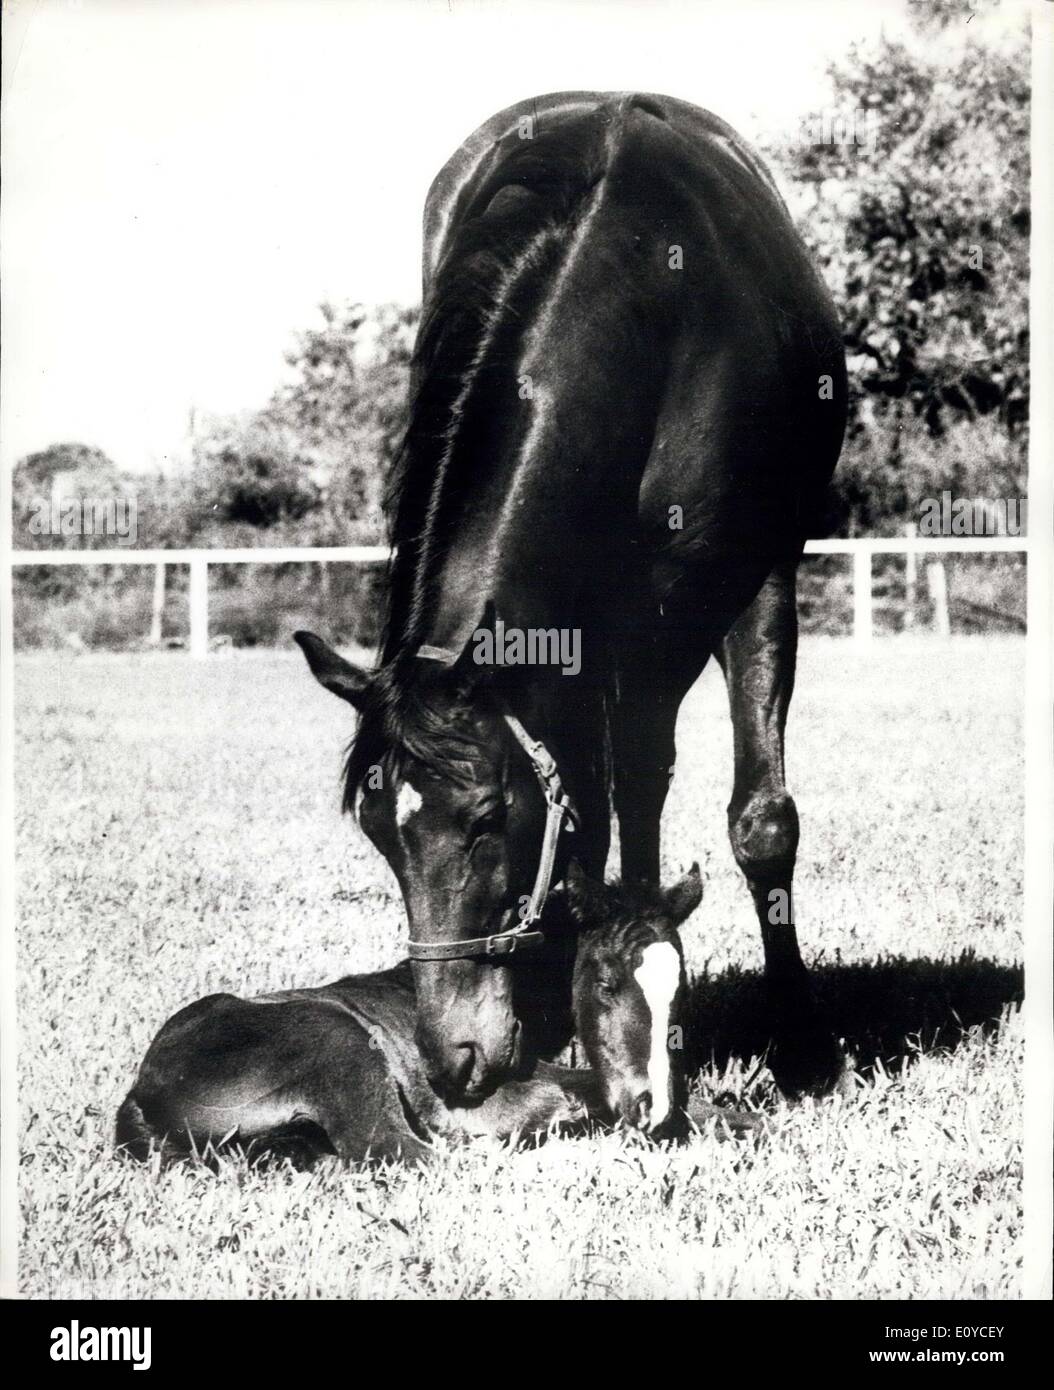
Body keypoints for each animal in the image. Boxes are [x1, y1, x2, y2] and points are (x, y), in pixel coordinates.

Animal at [117, 861, 717, 1167]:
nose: (651, 1108)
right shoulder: (490, 1097)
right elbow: (580, 1091)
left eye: (681, 993)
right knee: (401, 1150)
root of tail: (141, 1092)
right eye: (607, 984)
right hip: (338, 1039)